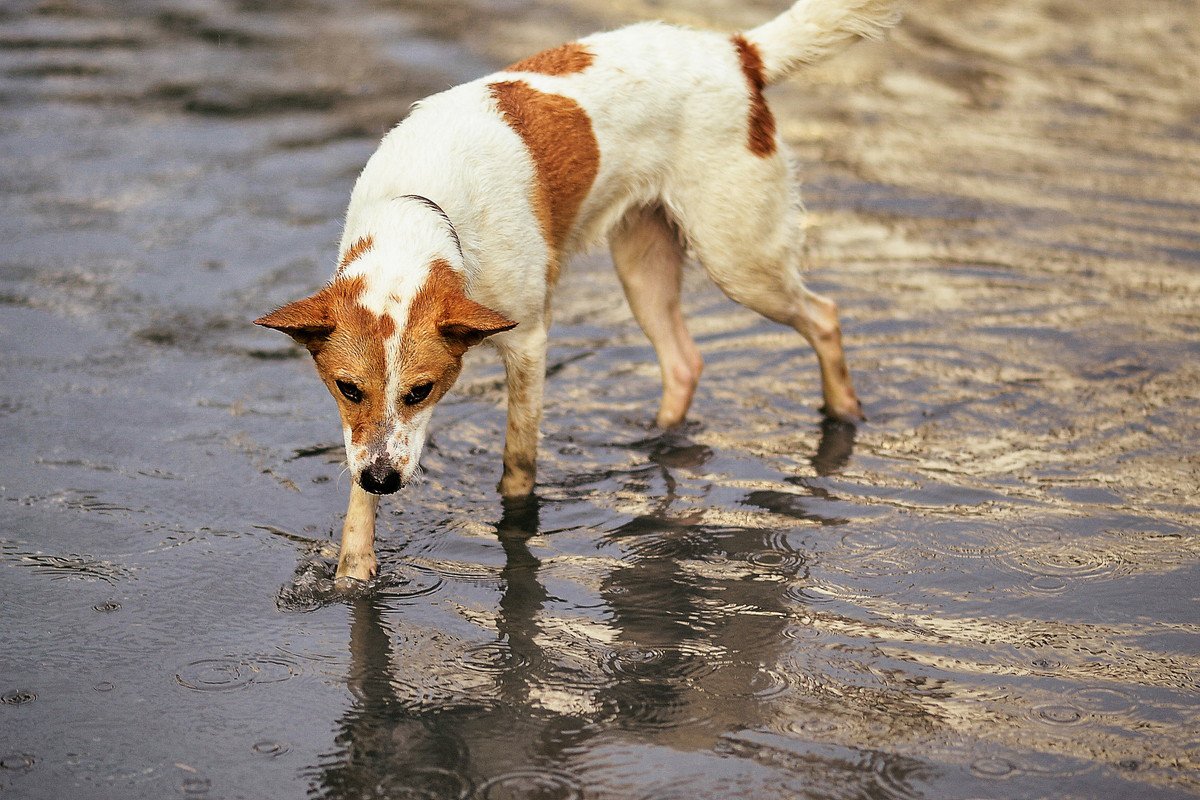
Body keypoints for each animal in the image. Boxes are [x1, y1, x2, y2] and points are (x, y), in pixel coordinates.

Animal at [255, 0, 902, 582]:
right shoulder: (364, 434)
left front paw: (516, 531)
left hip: (739, 260)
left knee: (824, 315)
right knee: (684, 361)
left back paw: (844, 411)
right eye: (347, 388)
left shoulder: (528, 344)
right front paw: (353, 569)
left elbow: (518, 461)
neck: (421, 206)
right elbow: (357, 474)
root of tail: (738, 52)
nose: (384, 481)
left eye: (422, 391)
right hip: (643, 264)